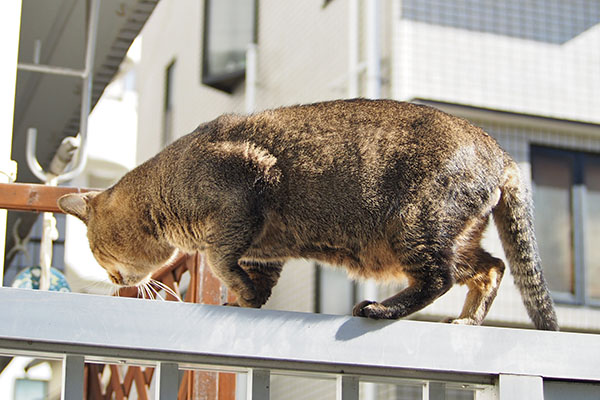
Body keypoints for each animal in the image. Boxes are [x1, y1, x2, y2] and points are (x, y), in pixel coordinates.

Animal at [58, 98, 560, 330]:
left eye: (99, 255)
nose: (114, 280)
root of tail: (501, 153)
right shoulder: (263, 246)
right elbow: (253, 276)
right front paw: (247, 299)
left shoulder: (246, 186)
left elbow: (220, 259)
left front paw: (239, 290)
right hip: (450, 237)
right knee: (491, 267)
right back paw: (469, 320)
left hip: (415, 224)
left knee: (439, 278)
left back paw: (381, 308)